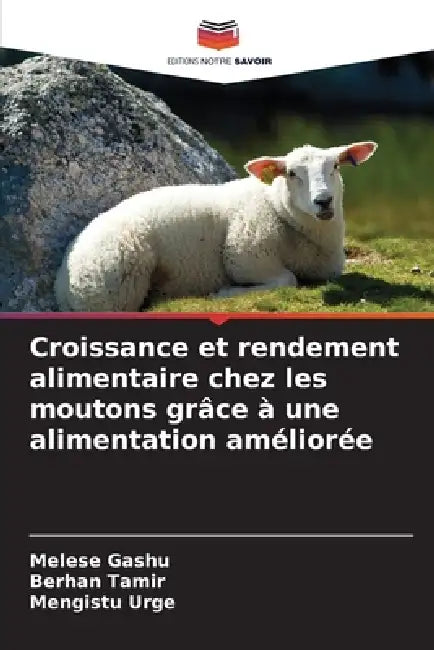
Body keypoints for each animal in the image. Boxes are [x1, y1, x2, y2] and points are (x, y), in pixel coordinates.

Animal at [55, 141, 378, 311]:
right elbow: (287, 280)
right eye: (291, 173)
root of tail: (61, 282)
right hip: (116, 285)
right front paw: (225, 293)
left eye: (335, 166)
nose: (323, 201)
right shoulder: (246, 255)